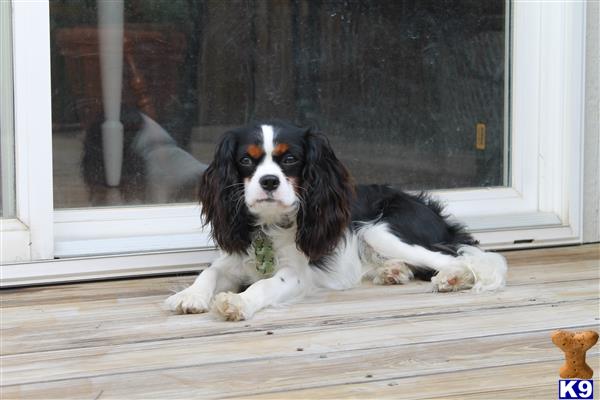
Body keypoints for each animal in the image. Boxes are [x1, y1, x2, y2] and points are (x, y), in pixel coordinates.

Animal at [166, 120, 508, 320]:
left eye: (290, 159)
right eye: (246, 160)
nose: (269, 181)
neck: (270, 223)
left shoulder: (297, 274)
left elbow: (265, 284)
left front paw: (238, 303)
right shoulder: (234, 258)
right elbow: (209, 272)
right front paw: (189, 296)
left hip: (380, 229)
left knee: (466, 258)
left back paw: (452, 278)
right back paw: (392, 271)